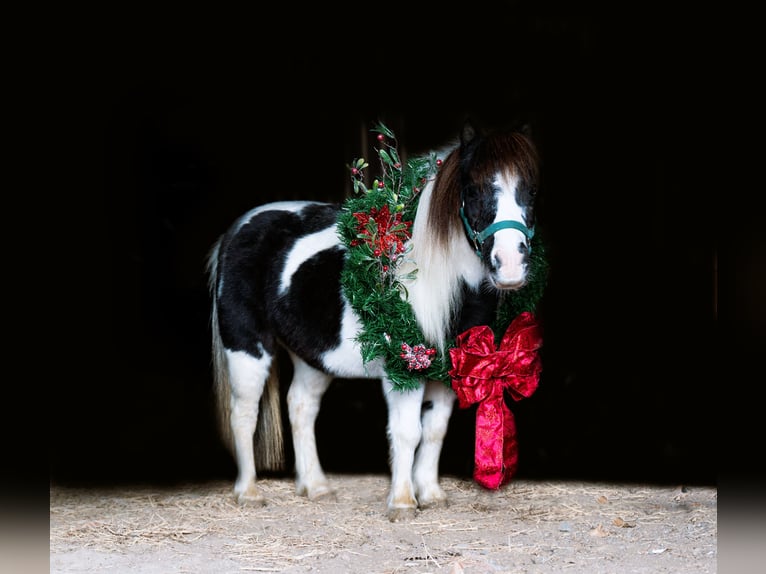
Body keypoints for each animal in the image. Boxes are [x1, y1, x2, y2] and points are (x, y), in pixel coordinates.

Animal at [207, 121, 544, 520]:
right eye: (472, 189)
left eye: (531, 190)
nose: (510, 265)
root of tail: (238, 228)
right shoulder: (404, 369)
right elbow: (408, 432)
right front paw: (402, 502)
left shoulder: (450, 370)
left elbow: (435, 431)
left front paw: (431, 494)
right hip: (247, 349)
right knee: (244, 413)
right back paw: (249, 492)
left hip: (314, 358)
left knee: (300, 407)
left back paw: (316, 487)